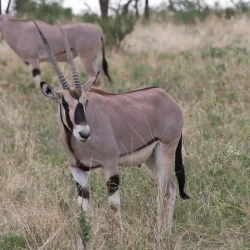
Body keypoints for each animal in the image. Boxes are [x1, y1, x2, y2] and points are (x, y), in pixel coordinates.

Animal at [33, 19, 189, 244]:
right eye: (64, 103)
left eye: (86, 102)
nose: (84, 133)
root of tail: (168, 98)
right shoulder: (77, 169)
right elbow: (83, 210)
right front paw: (85, 242)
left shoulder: (110, 165)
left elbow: (114, 206)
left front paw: (118, 239)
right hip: (151, 159)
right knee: (171, 187)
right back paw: (165, 233)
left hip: (166, 151)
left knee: (163, 192)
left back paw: (160, 236)